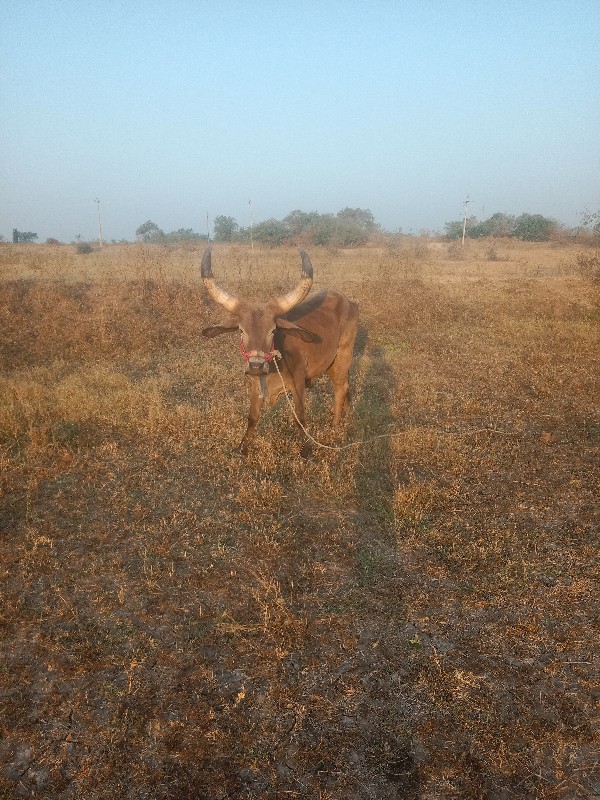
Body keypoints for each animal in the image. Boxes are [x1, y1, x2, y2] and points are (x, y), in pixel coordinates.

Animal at [202, 248, 360, 456]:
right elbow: (252, 417)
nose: (256, 365)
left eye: (272, 330)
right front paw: (242, 448)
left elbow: (300, 417)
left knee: (340, 388)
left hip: (343, 356)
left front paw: (306, 450)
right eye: (242, 330)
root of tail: (349, 302)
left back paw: (334, 425)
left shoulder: (298, 381)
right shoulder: (256, 384)